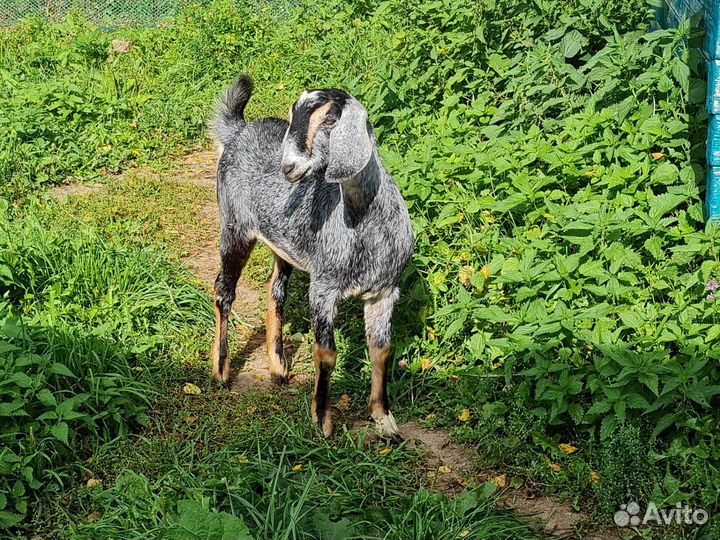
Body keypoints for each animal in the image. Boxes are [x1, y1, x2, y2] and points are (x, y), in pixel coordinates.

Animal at [210, 75, 414, 441]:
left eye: (330, 119)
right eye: (295, 115)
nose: (288, 167)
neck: (363, 226)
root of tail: (239, 131)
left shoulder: (385, 291)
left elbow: (382, 350)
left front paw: (385, 421)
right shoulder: (323, 289)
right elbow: (327, 354)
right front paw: (322, 419)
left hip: (283, 244)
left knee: (275, 288)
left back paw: (278, 367)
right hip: (234, 227)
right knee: (223, 291)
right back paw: (221, 370)